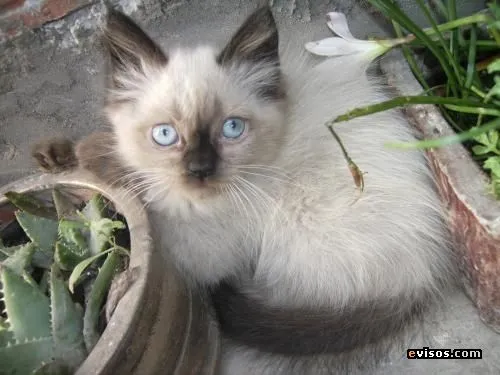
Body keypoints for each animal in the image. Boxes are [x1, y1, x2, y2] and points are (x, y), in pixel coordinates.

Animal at [33, 5, 458, 375]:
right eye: (165, 135)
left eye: (232, 129)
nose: (200, 171)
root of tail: (423, 275)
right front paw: (58, 156)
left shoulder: (196, 248)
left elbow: (139, 191)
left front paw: (93, 169)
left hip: (293, 228)